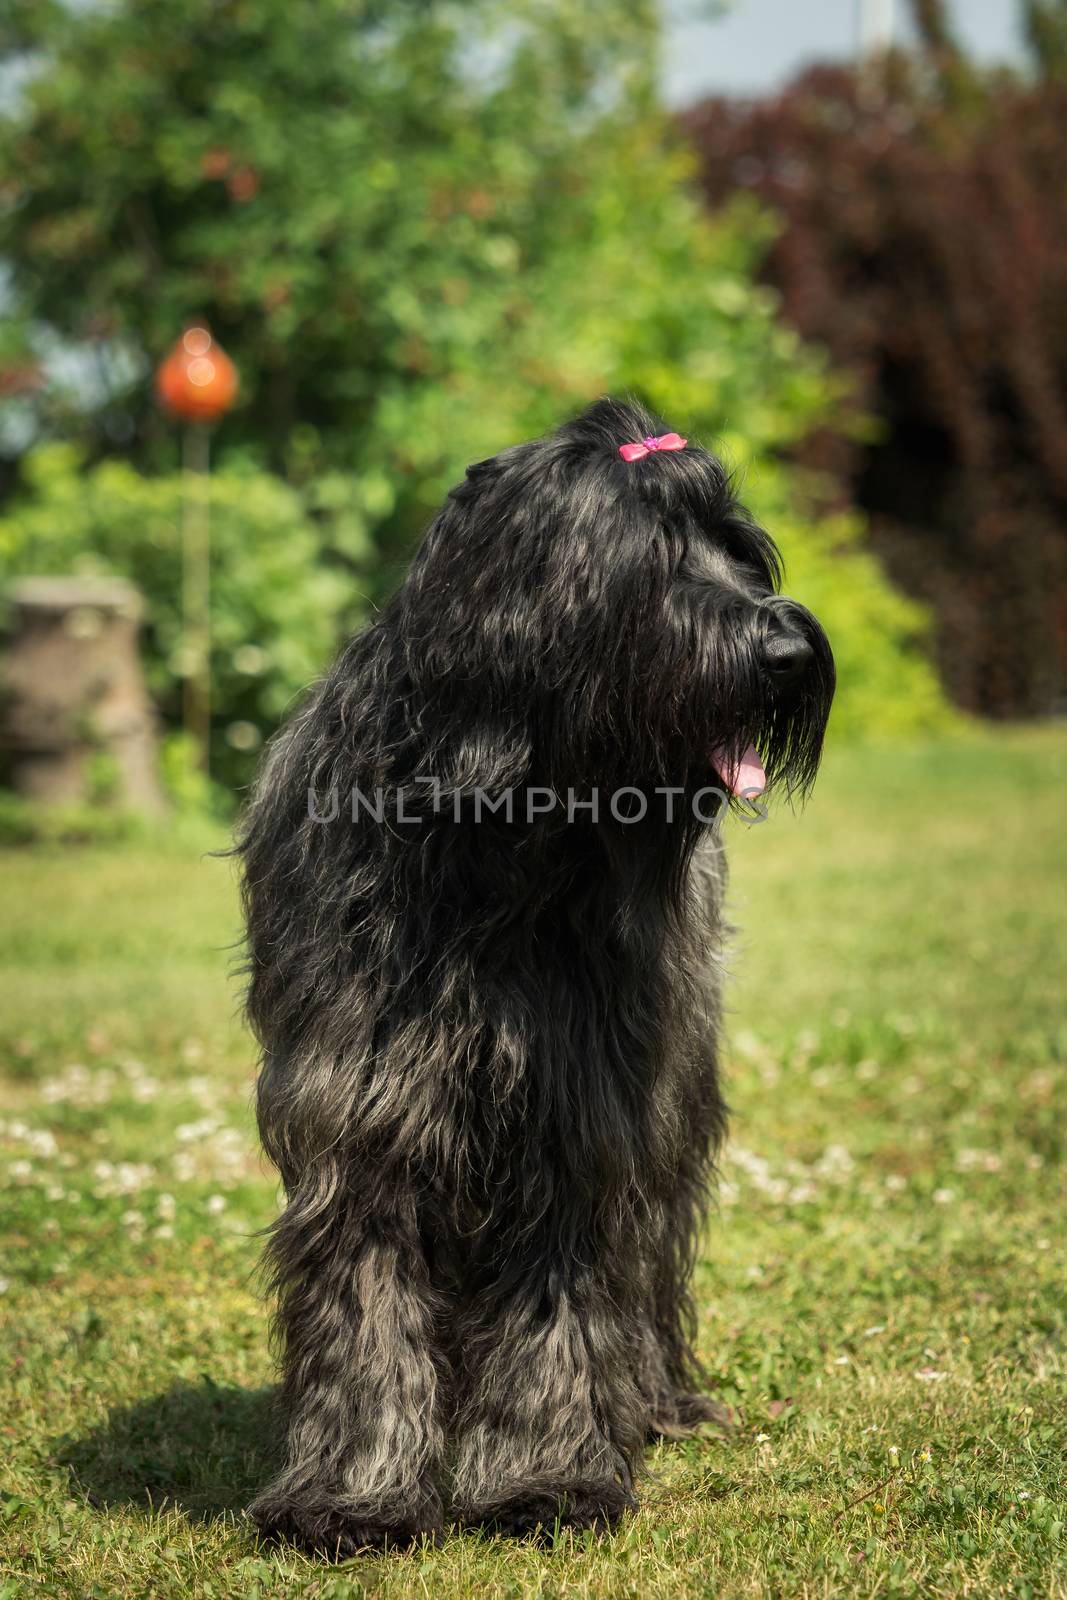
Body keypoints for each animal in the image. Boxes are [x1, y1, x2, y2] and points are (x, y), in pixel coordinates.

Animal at [238, 393, 838, 1555]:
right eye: (652, 555)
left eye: (740, 550)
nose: (787, 646)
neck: (498, 834)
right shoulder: (358, 1106)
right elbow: (364, 1301)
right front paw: (350, 1494)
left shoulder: (577, 1111)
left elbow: (558, 1303)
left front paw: (545, 1479)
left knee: (647, 1254)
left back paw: (650, 1398)